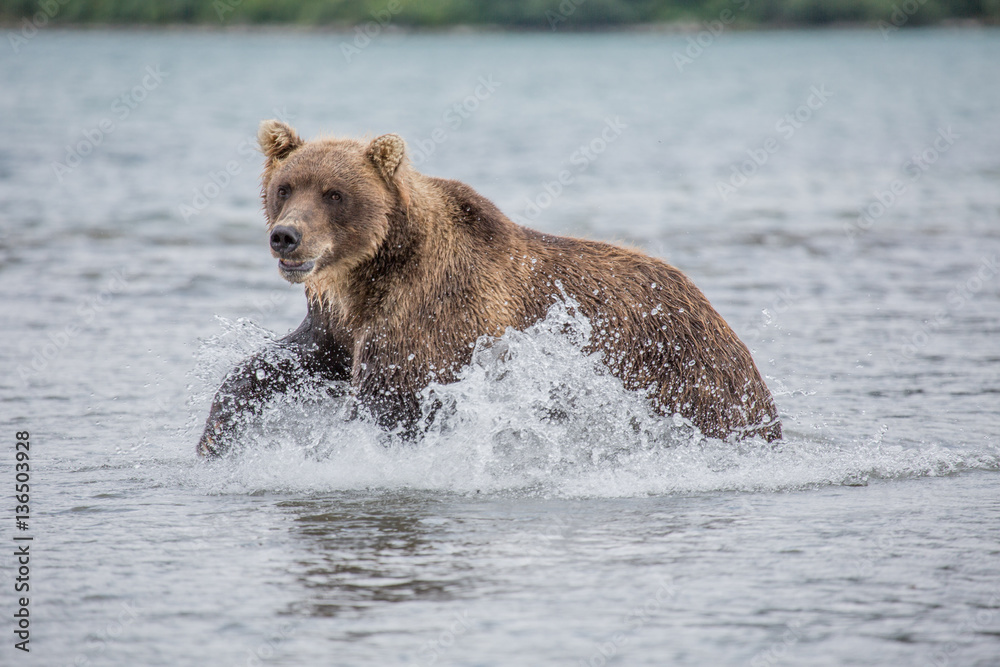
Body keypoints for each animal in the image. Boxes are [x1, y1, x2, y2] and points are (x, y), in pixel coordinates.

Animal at [196, 120, 781, 457]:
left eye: (334, 193)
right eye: (285, 187)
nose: (286, 236)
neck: (371, 273)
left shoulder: (434, 315)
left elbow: (394, 398)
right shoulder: (337, 325)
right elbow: (274, 367)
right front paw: (218, 436)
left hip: (683, 372)